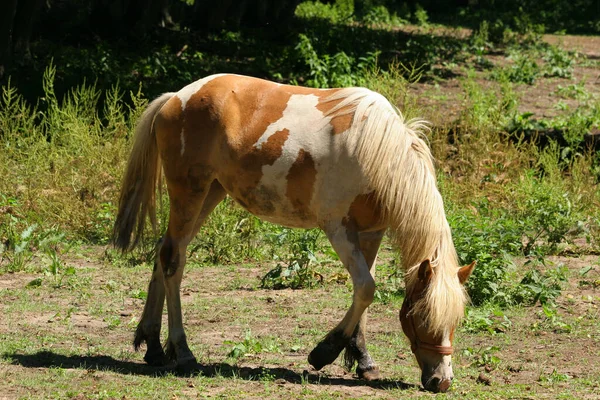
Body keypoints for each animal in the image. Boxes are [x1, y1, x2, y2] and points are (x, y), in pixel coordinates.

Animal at [113, 73, 474, 392]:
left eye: (456, 320)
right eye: (424, 317)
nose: (441, 382)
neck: (377, 152)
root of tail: (175, 98)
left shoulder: (372, 233)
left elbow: (364, 292)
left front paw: (363, 360)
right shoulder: (339, 229)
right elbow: (367, 288)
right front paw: (324, 352)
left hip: (208, 195)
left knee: (166, 252)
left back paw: (153, 347)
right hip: (190, 193)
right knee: (173, 262)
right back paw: (183, 352)